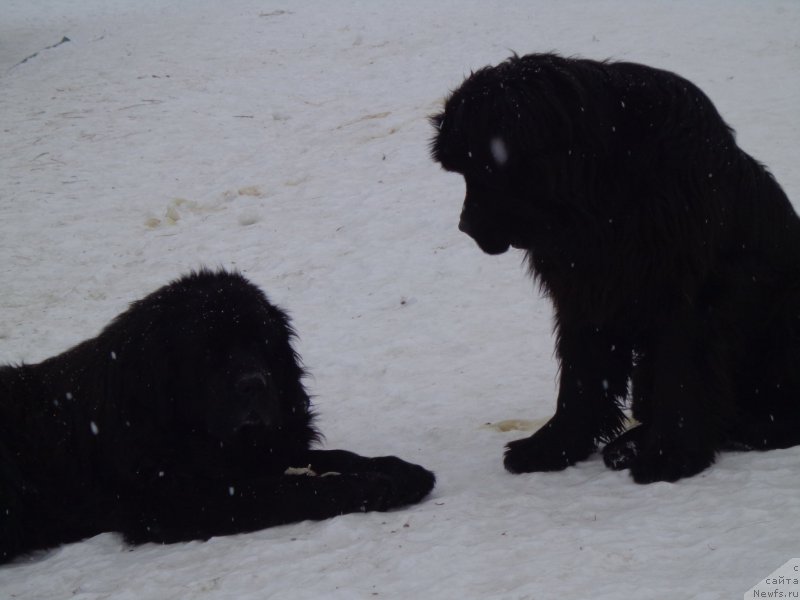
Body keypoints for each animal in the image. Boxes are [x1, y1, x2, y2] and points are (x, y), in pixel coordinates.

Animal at [1, 272, 438, 564]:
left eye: (262, 342)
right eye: (209, 354)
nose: (255, 383)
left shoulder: (269, 451)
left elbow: (336, 458)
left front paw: (400, 470)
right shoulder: (180, 499)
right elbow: (290, 490)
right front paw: (368, 486)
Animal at [432, 51, 800, 482]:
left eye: (484, 167)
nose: (465, 225)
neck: (600, 197)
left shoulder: (689, 297)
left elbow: (682, 376)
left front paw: (670, 456)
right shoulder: (585, 294)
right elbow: (581, 378)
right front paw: (553, 446)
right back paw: (629, 444)